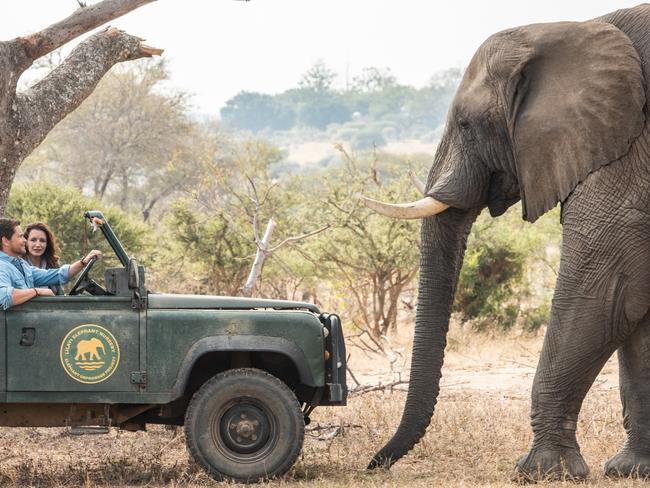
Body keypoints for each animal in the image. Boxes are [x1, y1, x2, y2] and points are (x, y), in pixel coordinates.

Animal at [360, 3, 650, 482]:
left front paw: (543, 473)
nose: (372, 464)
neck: (574, 28)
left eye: (465, 123)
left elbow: (607, 288)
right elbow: (633, 306)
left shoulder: (632, 152)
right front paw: (630, 470)